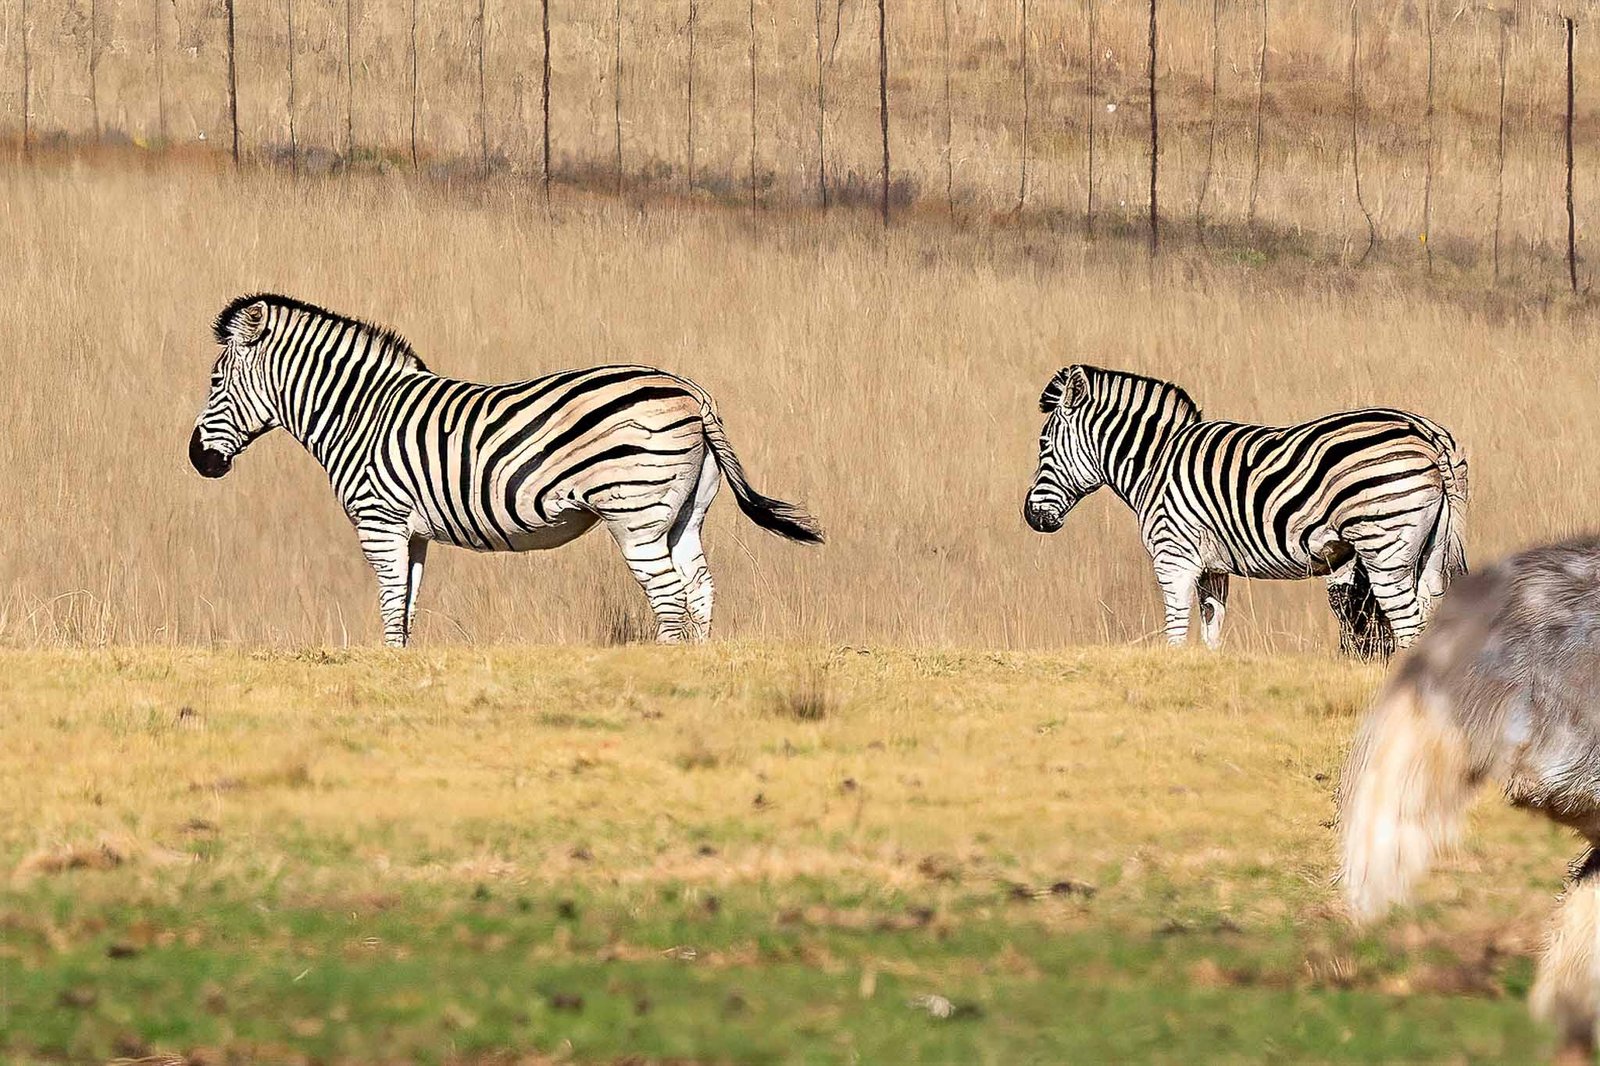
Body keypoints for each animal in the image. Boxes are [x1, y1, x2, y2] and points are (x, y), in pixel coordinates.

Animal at [189, 294, 823, 647]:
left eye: (216, 380)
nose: (198, 460)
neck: (359, 413)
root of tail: (691, 393)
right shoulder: (412, 533)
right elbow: (408, 609)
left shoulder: (377, 522)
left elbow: (391, 609)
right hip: (683, 514)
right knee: (701, 591)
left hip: (634, 511)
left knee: (670, 603)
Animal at [1022, 365, 1467, 655]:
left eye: (1044, 445)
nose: (1032, 517)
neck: (1154, 463)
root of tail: (1425, 432)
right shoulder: (1212, 568)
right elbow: (1211, 632)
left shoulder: (1172, 556)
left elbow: (1175, 630)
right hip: (1431, 551)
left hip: (1383, 544)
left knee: (1408, 627)